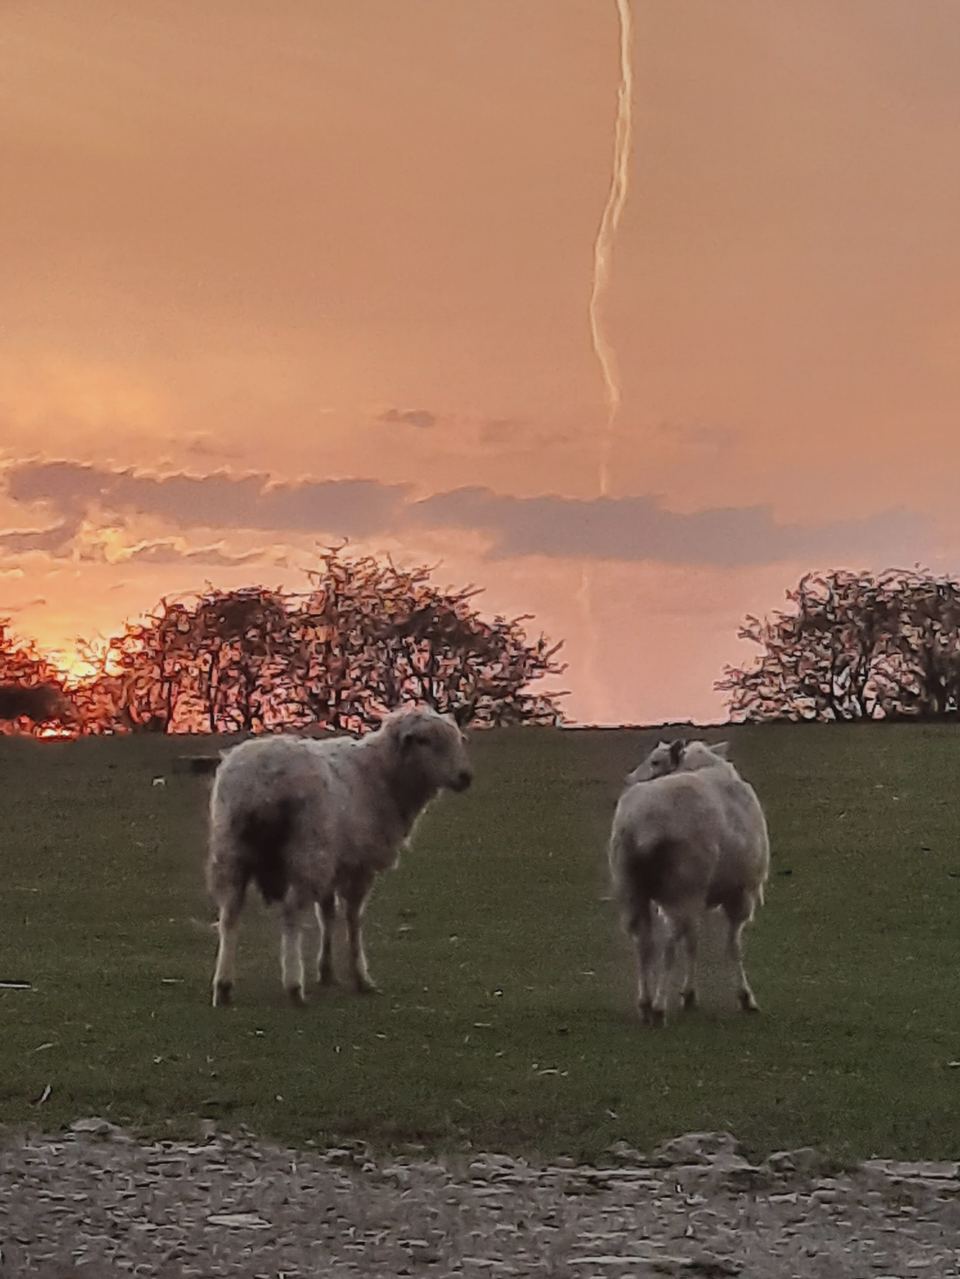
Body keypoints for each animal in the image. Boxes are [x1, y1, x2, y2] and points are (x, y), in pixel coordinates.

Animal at [206, 706, 473, 1007]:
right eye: (425, 741)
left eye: (458, 739)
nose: (465, 777)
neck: (382, 775)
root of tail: (263, 781)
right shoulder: (360, 865)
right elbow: (353, 918)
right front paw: (361, 977)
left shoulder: (336, 862)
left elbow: (327, 913)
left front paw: (327, 972)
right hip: (308, 852)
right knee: (290, 913)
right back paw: (294, 985)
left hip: (232, 852)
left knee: (230, 915)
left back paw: (224, 986)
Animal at [608, 738, 769, 1026]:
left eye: (655, 761)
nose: (629, 779)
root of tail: (643, 824)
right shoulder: (740, 893)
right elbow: (732, 946)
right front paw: (745, 997)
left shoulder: (700, 895)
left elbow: (693, 941)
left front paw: (689, 994)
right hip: (681, 886)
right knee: (669, 945)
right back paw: (659, 1007)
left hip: (631, 886)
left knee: (644, 942)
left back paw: (645, 1004)